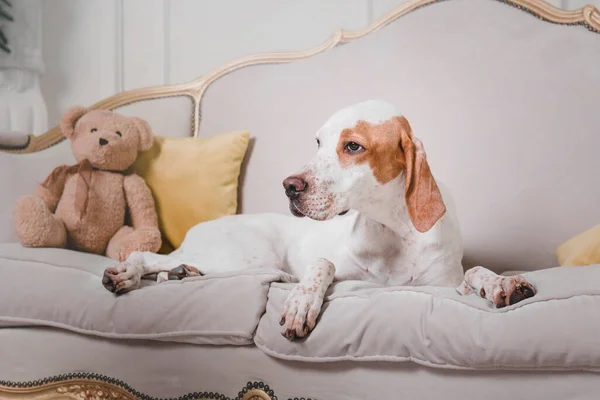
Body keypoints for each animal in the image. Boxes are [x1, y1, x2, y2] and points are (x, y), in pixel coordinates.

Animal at [101, 101, 536, 340]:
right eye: (318, 142)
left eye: (353, 146)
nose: (289, 186)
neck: (392, 229)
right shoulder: (341, 270)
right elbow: (322, 266)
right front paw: (301, 304)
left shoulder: (443, 287)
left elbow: (475, 272)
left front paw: (503, 283)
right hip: (245, 256)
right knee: (146, 257)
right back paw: (128, 274)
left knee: (172, 266)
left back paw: (180, 273)